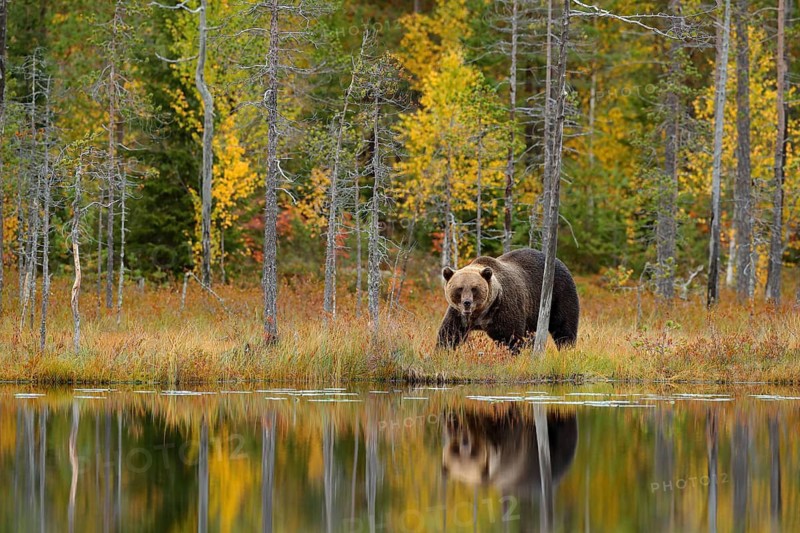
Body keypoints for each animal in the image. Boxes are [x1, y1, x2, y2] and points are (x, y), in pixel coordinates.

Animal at [436, 248, 579, 352]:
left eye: (474, 288)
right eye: (459, 288)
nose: (467, 303)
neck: (480, 312)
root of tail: (559, 261)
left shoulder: (502, 307)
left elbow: (510, 336)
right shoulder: (458, 314)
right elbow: (450, 333)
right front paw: (442, 351)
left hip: (560, 292)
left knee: (564, 325)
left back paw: (567, 348)